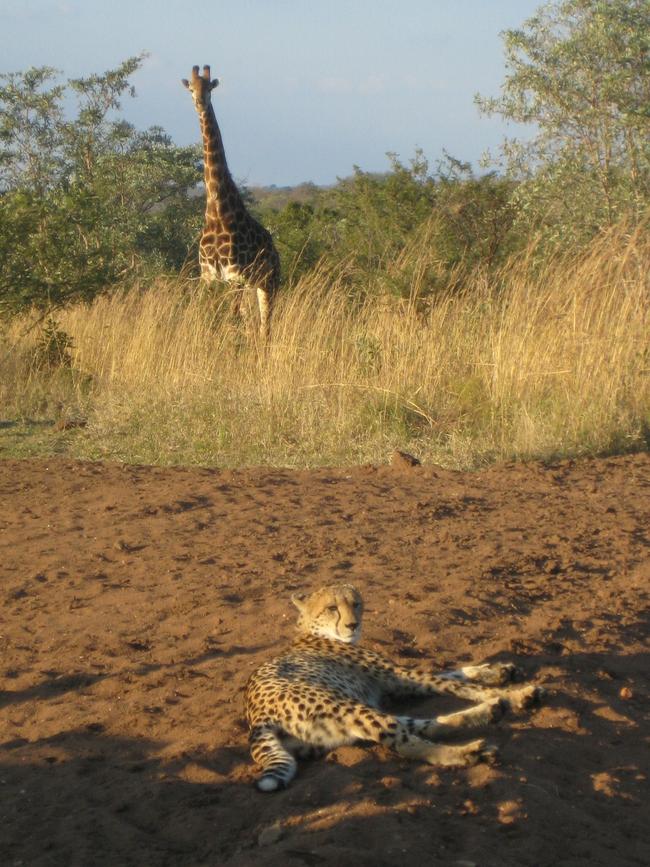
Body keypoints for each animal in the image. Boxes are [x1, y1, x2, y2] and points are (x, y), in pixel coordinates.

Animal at [180, 64, 278, 340]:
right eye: (191, 89)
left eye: (209, 88)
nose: (200, 103)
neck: (216, 211)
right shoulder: (208, 276)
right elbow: (202, 314)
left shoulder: (235, 275)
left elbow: (229, 319)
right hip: (251, 285)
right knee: (252, 323)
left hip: (268, 284)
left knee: (265, 327)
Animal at [244, 584, 540, 792]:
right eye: (332, 608)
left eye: (356, 604)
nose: (353, 624)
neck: (315, 632)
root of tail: (256, 719)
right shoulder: (398, 676)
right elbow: (454, 683)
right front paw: (515, 694)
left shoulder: (396, 683)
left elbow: (455, 673)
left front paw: (500, 672)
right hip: (345, 706)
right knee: (404, 742)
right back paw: (469, 751)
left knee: (422, 725)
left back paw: (488, 714)